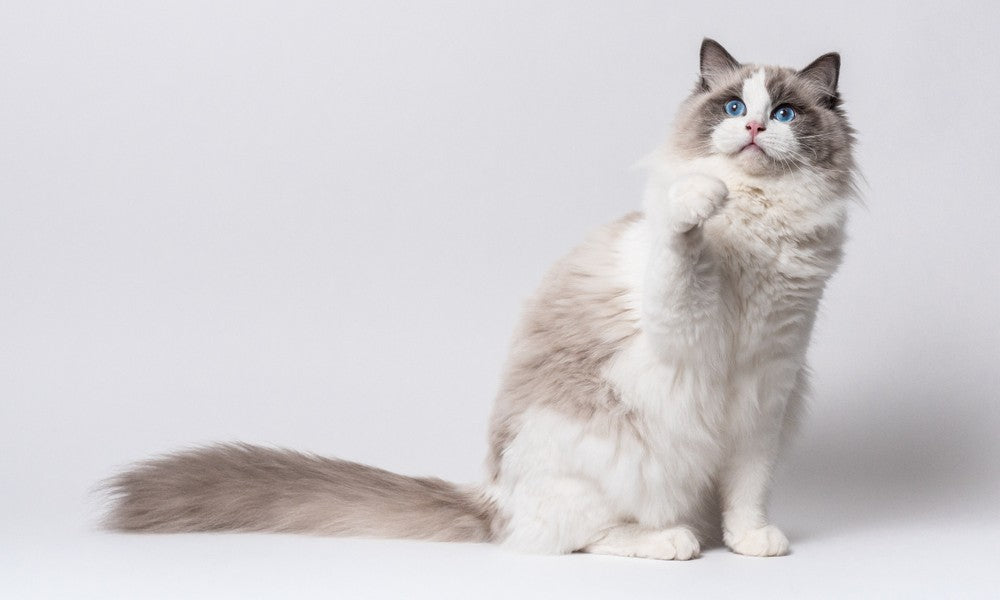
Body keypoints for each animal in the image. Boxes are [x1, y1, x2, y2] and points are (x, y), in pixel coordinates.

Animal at [103, 39, 860, 560]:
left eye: (784, 113)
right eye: (733, 108)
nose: (755, 129)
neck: (761, 226)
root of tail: (492, 496)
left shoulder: (767, 391)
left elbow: (748, 491)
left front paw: (754, 541)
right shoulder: (685, 325)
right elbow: (683, 237)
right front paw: (701, 197)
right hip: (617, 457)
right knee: (569, 536)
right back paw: (669, 540)